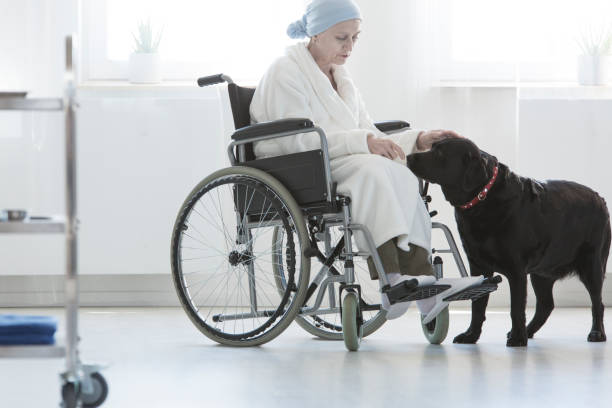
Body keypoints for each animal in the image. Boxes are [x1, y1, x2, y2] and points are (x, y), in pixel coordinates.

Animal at [404, 139, 608, 346]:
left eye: (440, 153)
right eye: (432, 147)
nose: (409, 156)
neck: (483, 198)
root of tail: (599, 197)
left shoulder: (516, 270)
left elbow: (516, 308)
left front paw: (518, 338)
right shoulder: (478, 266)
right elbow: (477, 306)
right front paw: (471, 335)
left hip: (592, 265)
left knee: (597, 303)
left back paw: (596, 333)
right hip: (541, 272)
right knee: (545, 305)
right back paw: (528, 331)